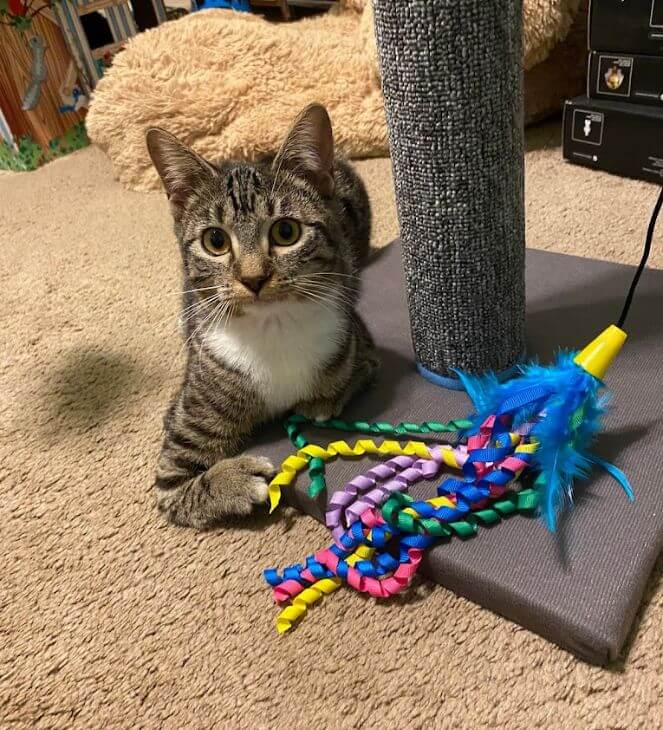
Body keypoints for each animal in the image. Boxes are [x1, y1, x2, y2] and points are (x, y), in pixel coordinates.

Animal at [148, 102, 382, 528]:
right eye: (215, 241)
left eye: (286, 232)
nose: (253, 278)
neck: (273, 328)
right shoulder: (176, 436)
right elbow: (179, 490)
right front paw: (235, 480)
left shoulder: (361, 348)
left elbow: (342, 383)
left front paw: (318, 403)